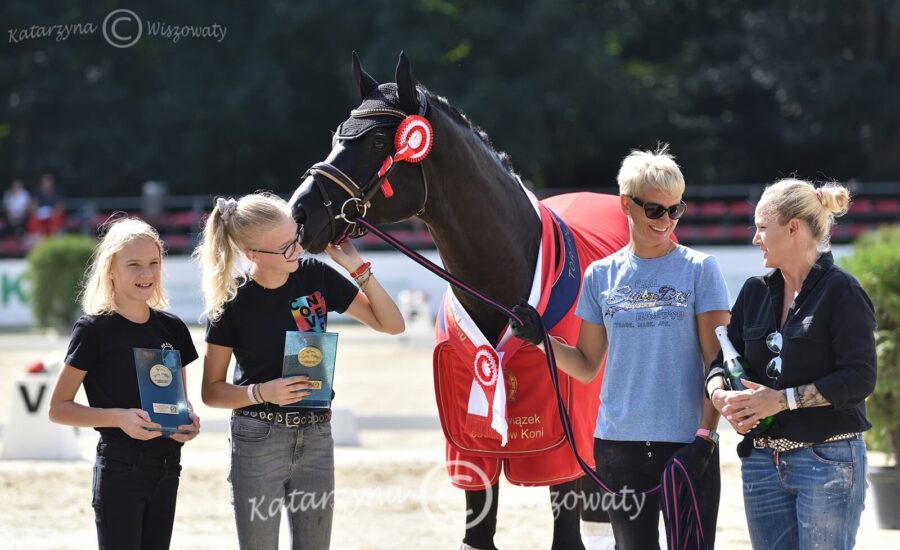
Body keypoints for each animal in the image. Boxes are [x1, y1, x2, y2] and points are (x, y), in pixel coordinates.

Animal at [288, 52, 620, 550]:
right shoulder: (469, 450)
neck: (505, 300)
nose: (300, 212)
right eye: (336, 137)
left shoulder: (563, 454)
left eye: (379, 140)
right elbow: (477, 535)